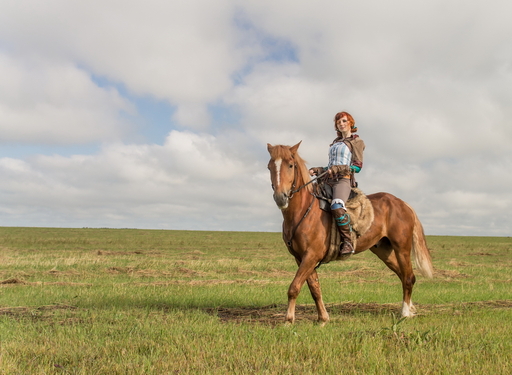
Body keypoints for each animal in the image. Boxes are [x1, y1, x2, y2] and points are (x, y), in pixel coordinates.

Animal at [268, 142, 432, 324]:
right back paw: (410, 308)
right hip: (384, 250)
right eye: (269, 166)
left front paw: (288, 320)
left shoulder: (311, 255)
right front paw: (323, 319)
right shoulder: (300, 257)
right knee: (403, 275)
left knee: (409, 277)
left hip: (402, 247)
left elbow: (294, 287)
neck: (304, 210)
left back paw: (405, 313)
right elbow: (314, 288)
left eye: (290, 165)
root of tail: (403, 203)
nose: (280, 197)